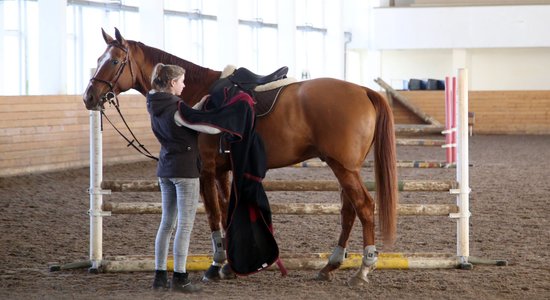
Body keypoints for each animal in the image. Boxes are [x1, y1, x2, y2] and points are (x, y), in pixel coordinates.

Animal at [84, 28, 398, 286]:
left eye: (113, 61)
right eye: (98, 58)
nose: (89, 96)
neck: (198, 95)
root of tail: (363, 90)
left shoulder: (207, 171)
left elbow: (214, 215)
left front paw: (216, 265)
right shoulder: (224, 170)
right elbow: (226, 212)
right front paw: (228, 267)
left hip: (344, 168)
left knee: (364, 207)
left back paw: (363, 270)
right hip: (343, 167)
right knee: (349, 210)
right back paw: (331, 265)